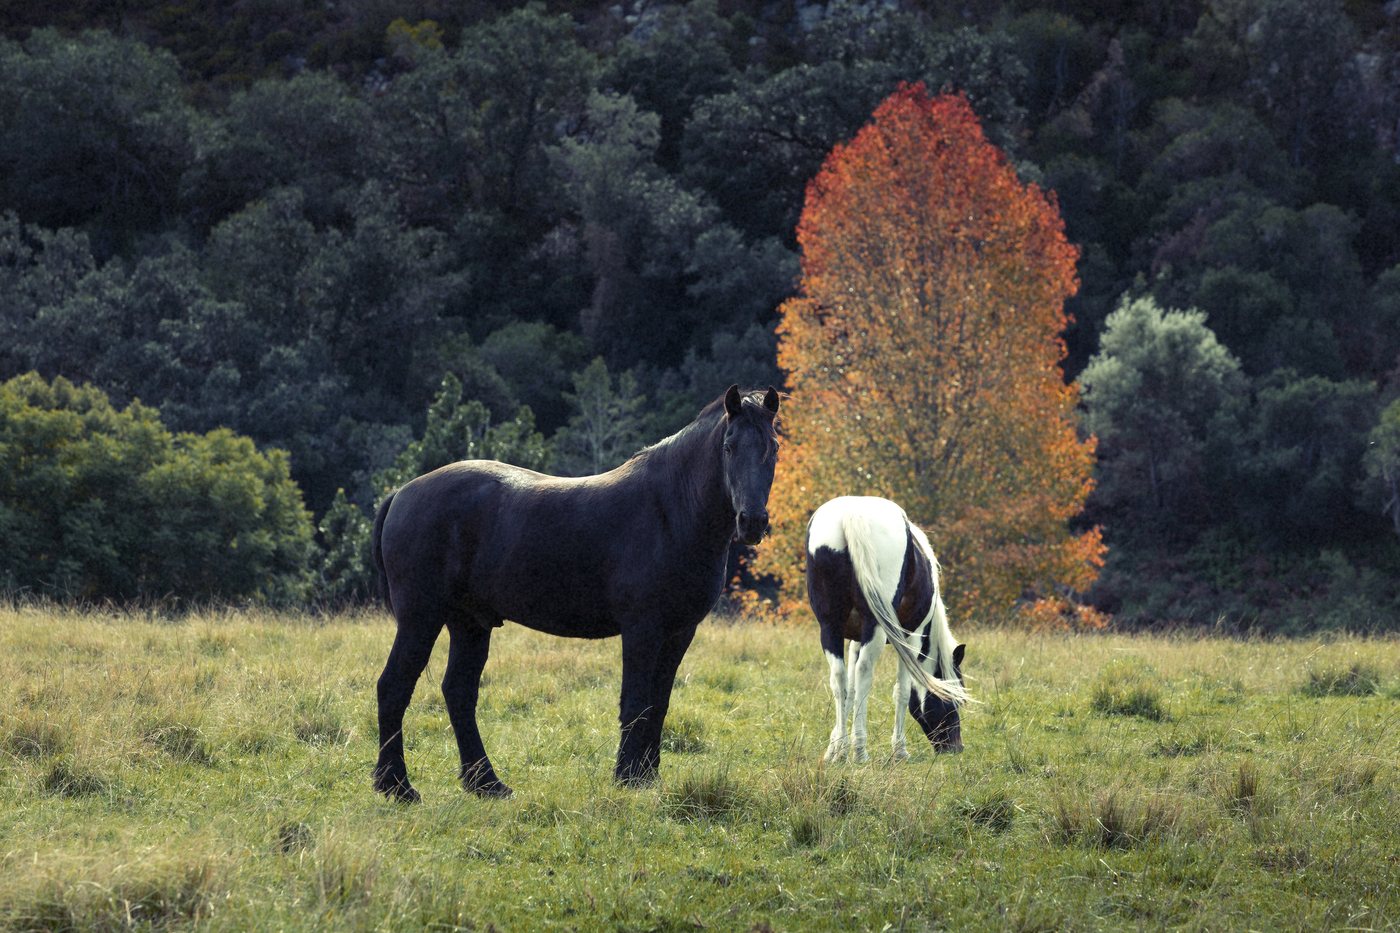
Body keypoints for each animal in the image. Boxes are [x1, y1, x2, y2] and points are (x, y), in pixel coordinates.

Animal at [370, 385, 780, 801]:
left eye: (773, 447)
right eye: (729, 446)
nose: (751, 522)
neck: (670, 511)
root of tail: (401, 494)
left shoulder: (679, 633)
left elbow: (659, 703)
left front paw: (648, 776)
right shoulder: (642, 629)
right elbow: (635, 702)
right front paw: (628, 777)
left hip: (469, 624)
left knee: (458, 693)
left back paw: (486, 783)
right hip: (420, 618)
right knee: (394, 687)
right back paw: (397, 785)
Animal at [805, 496, 969, 763]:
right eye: (953, 699)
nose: (955, 747)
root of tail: (852, 512)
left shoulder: (855, 641)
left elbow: (850, 691)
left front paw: (833, 748)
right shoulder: (909, 639)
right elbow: (902, 691)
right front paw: (899, 750)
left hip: (830, 627)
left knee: (839, 679)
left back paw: (844, 749)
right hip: (875, 628)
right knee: (864, 674)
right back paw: (860, 751)